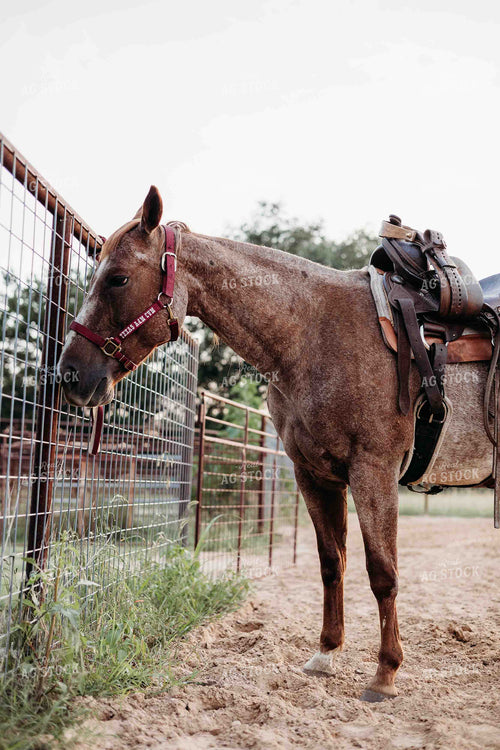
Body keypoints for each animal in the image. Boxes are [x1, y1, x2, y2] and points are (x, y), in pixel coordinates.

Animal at [58, 186, 493, 701]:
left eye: (118, 278)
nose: (70, 374)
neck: (311, 334)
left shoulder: (373, 472)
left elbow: (382, 573)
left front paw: (385, 673)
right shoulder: (315, 475)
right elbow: (331, 563)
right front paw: (326, 653)